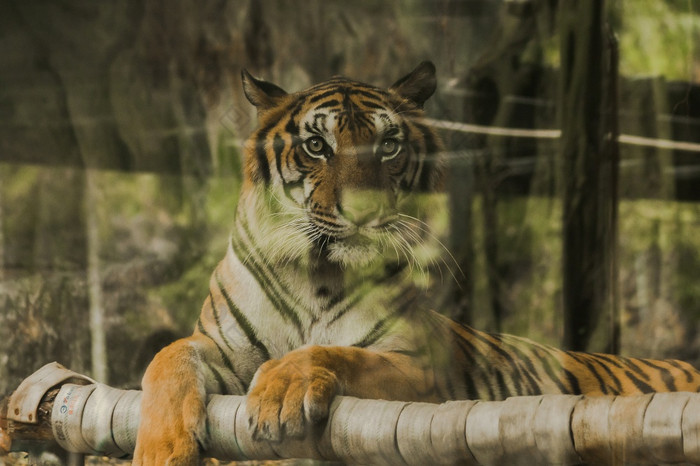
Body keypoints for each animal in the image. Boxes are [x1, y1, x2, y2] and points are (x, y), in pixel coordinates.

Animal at [134, 61, 700, 462]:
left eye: (388, 145)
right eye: (316, 145)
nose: (363, 211)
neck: (316, 274)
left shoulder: (420, 366)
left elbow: (333, 353)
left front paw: (281, 391)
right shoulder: (218, 345)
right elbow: (166, 359)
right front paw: (161, 450)